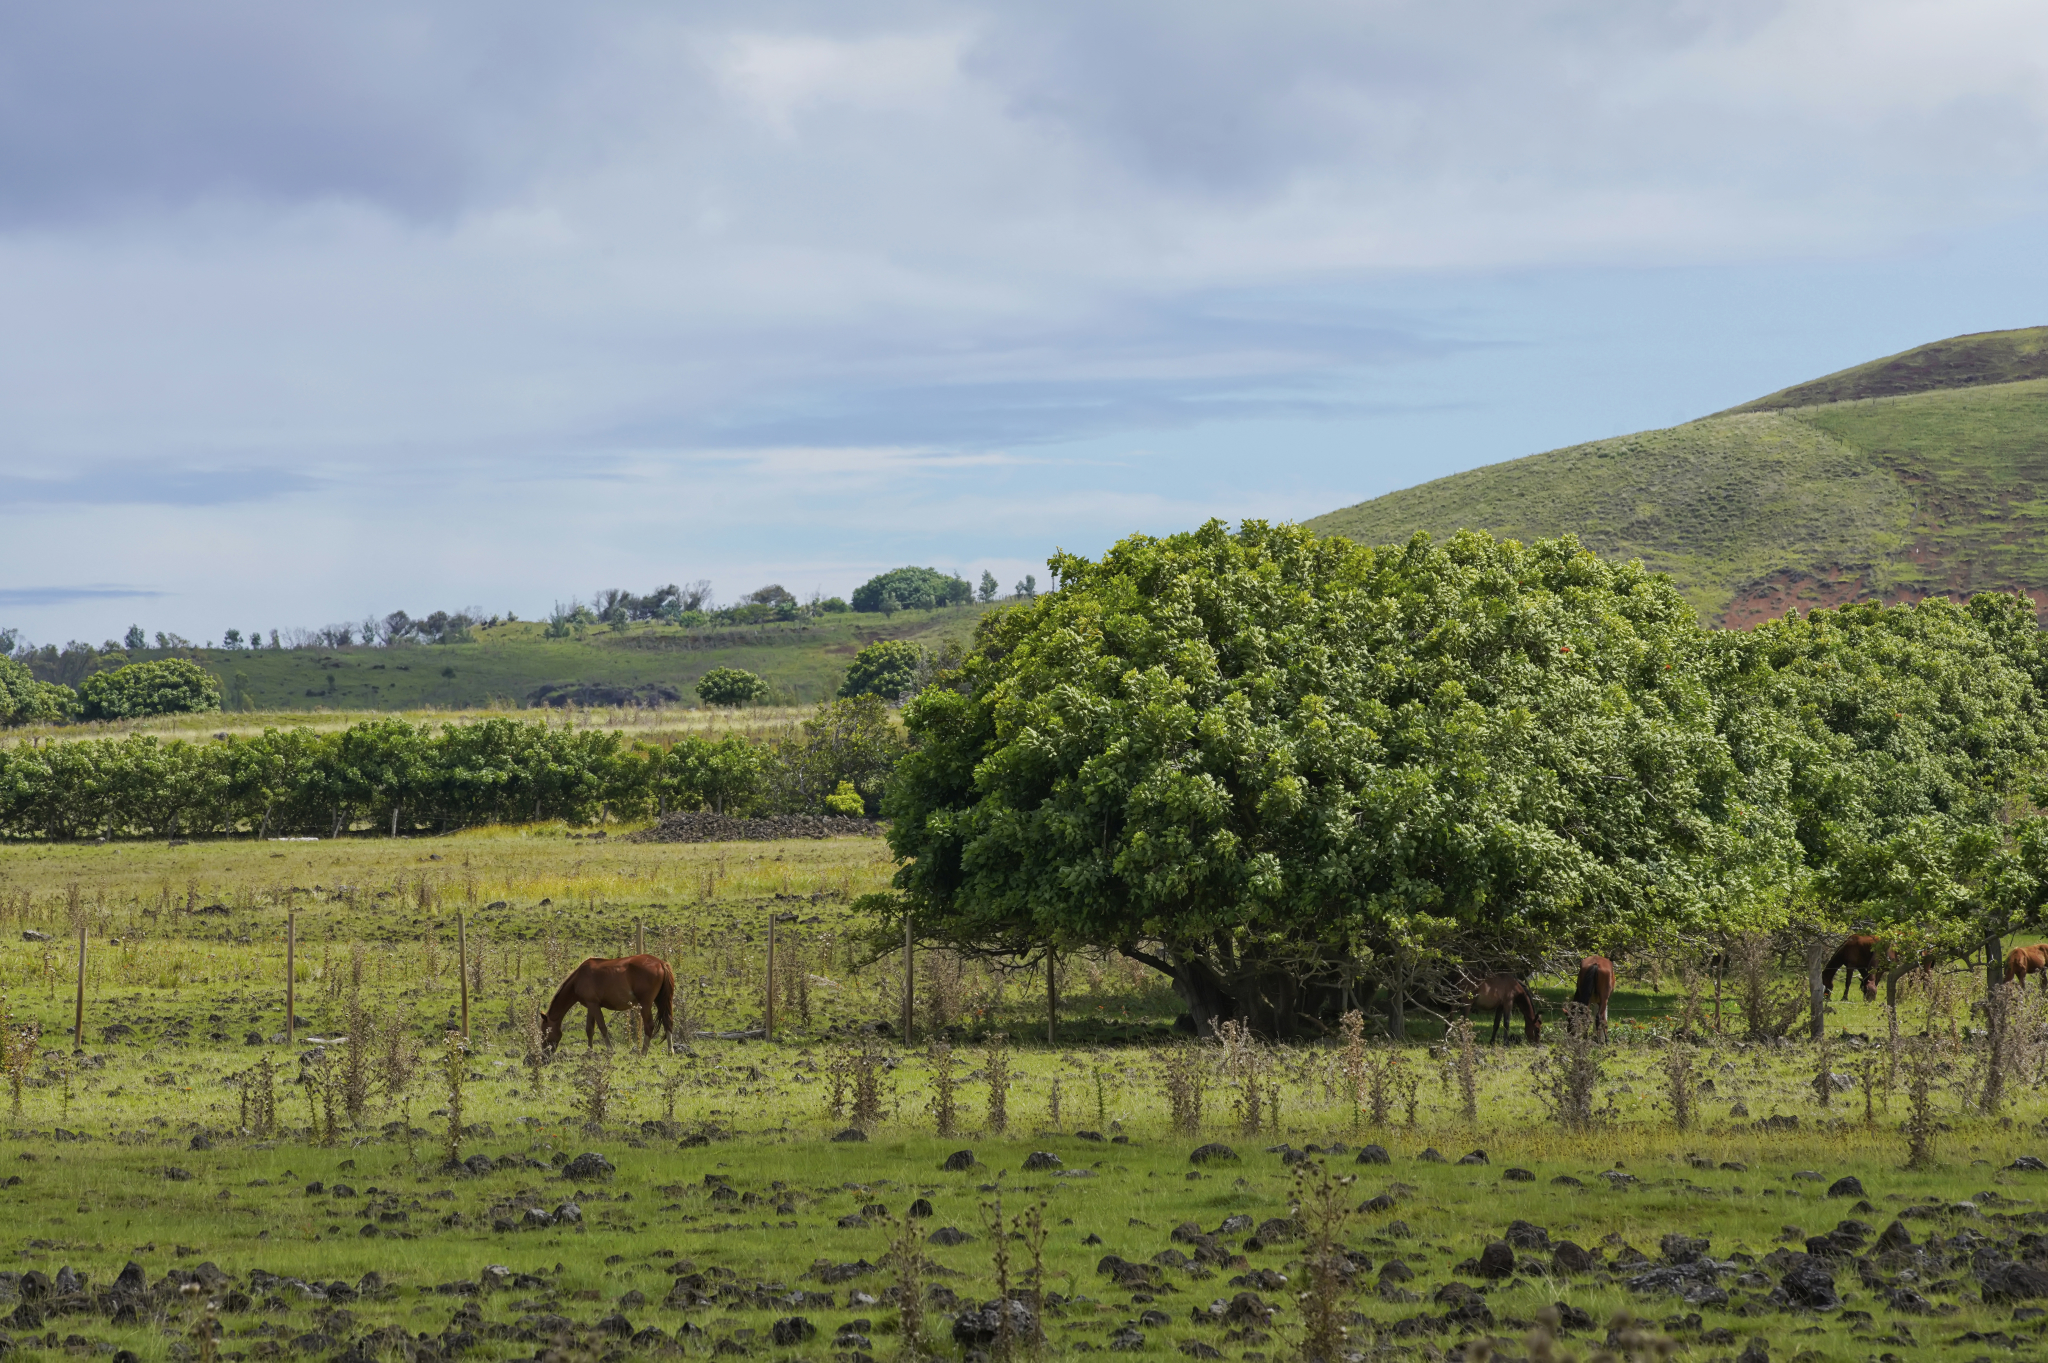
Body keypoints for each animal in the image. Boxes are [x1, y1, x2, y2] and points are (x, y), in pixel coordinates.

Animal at [540, 953, 675, 1047]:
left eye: (544, 1033)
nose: (545, 1054)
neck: (578, 978)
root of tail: (660, 963)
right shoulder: (591, 1005)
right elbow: (589, 1029)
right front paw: (589, 1052)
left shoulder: (594, 1005)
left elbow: (602, 1027)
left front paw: (610, 1049)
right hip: (661, 1000)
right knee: (668, 1021)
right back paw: (670, 1052)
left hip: (645, 1004)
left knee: (649, 1026)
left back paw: (643, 1053)